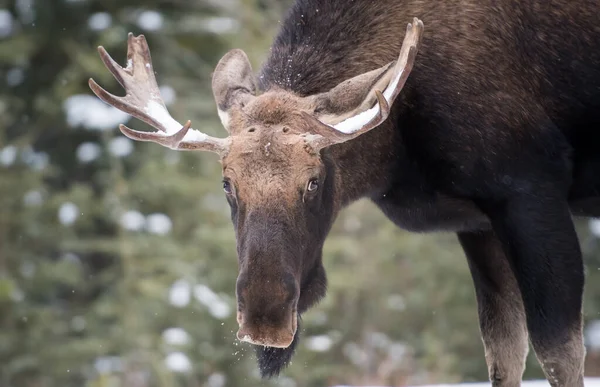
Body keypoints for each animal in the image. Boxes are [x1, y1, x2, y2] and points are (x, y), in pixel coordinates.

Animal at [89, 0, 600, 386]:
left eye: (314, 180)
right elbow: (503, 352)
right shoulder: (476, 222)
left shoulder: (530, 191)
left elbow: (560, 352)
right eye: (227, 183)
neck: (396, 158)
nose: (264, 316)